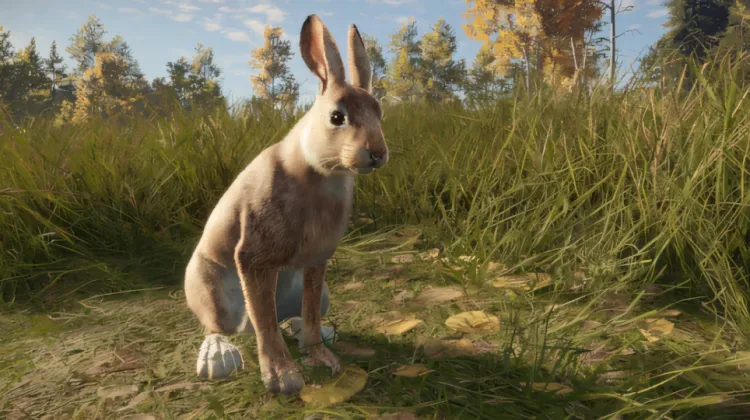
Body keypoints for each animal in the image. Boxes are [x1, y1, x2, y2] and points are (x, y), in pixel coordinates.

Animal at [183, 14, 388, 396]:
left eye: (379, 112)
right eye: (337, 118)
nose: (378, 154)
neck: (318, 171)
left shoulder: (316, 261)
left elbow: (309, 313)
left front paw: (323, 358)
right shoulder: (254, 259)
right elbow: (265, 323)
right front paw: (283, 378)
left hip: (319, 292)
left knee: (295, 314)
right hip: (210, 289)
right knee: (220, 326)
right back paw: (218, 359)